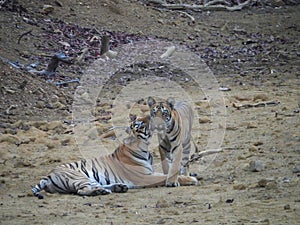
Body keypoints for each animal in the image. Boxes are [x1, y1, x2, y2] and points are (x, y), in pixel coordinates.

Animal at [31, 114, 198, 199]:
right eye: (139, 124)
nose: (149, 116)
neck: (144, 148)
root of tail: (48, 174)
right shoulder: (144, 177)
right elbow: (166, 176)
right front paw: (189, 179)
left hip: (89, 179)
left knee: (95, 185)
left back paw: (117, 187)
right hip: (78, 177)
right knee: (82, 191)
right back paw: (100, 192)